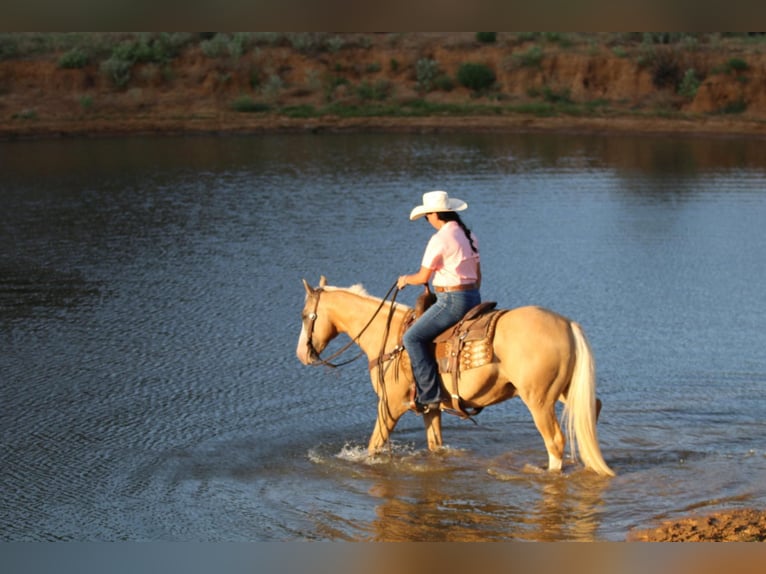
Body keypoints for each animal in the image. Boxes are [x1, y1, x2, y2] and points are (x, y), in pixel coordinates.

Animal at [296, 278, 616, 476]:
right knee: (592, 409)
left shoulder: (390, 406)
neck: (389, 338)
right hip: (563, 391)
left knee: (555, 441)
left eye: (303, 315)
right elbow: (435, 445)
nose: (302, 354)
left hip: (538, 400)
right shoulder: (431, 407)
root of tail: (567, 323)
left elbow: (374, 445)